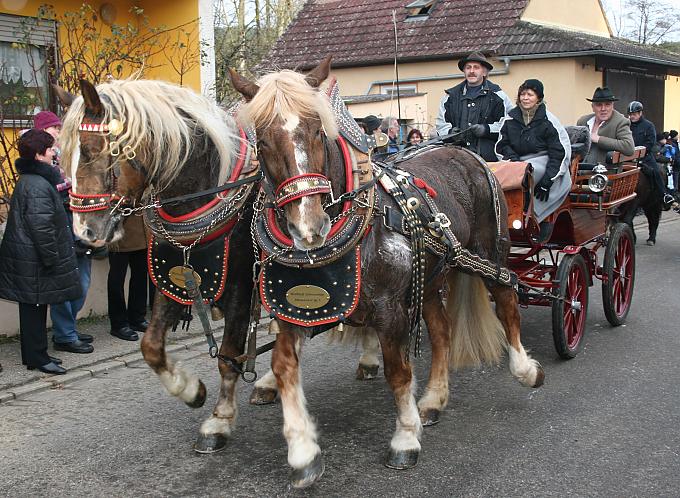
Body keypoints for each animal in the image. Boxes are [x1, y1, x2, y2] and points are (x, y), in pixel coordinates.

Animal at [57, 78, 258, 453]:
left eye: (90, 150)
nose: (82, 233)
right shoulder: (172, 277)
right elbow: (150, 346)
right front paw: (191, 390)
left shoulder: (240, 286)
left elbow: (228, 356)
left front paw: (220, 421)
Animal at [229, 56, 544, 487]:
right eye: (261, 141)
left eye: (317, 130)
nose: (308, 227)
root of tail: (465, 152)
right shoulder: (292, 309)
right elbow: (282, 367)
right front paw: (302, 451)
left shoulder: (390, 309)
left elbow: (398, 372)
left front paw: (405, 439)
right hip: (429, 278)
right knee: (442, 332)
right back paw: (433, 400)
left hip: (489, 256)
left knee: (508, 302)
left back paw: (525, 369)